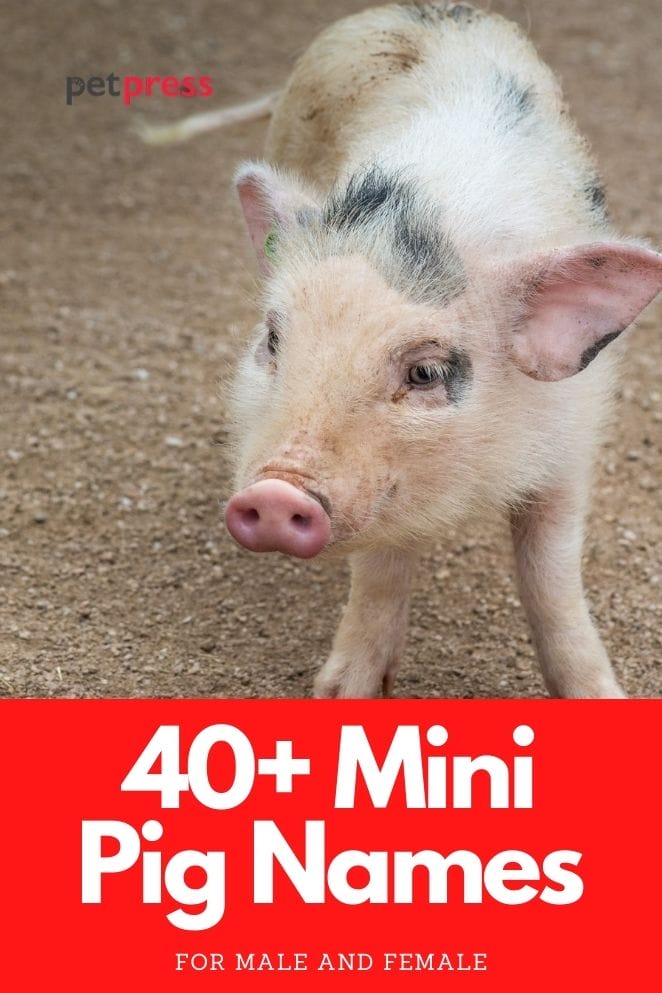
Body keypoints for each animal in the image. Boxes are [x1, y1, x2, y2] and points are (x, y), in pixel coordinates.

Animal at [219, 2, 662, 698]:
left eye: (425, 371)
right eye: (273, 339)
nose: (275, 494)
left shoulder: (572, 443)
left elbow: (552, 577)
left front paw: (602, 696)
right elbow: (381, 569)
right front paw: (342, 693)